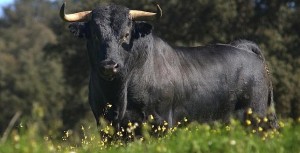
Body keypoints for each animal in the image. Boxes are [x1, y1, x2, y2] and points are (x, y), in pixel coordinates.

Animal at [61, 3, 278, 130]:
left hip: (259, 117)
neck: (119, 94)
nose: (109, 66)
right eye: (94, 34)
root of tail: (245, 48)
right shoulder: (105, 125)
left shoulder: (161, 121)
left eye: (126, 34)